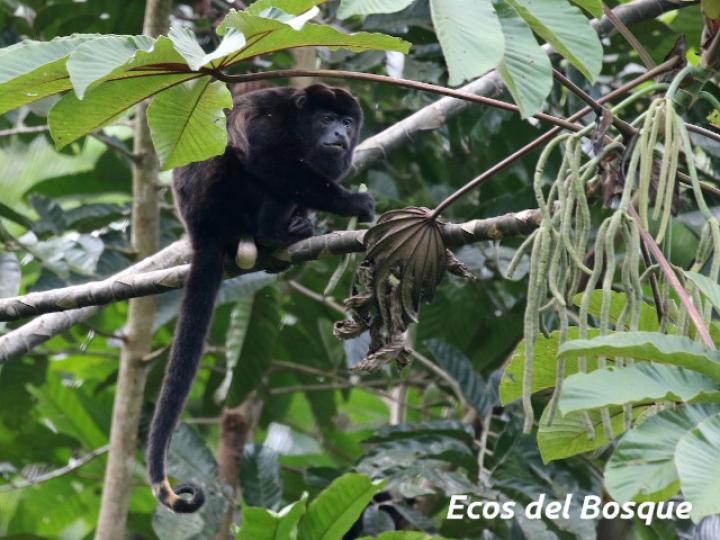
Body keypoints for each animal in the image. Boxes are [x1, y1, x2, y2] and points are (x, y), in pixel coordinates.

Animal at [146, 84, 374, 513]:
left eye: (347, 121)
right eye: (325, 119)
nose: (339, 133)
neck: (301, 122)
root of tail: (199, 230)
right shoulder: (273, 114)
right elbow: (261, 154)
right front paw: (352, 202)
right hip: (227, 200)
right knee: (256, 167)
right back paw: (274, 233)